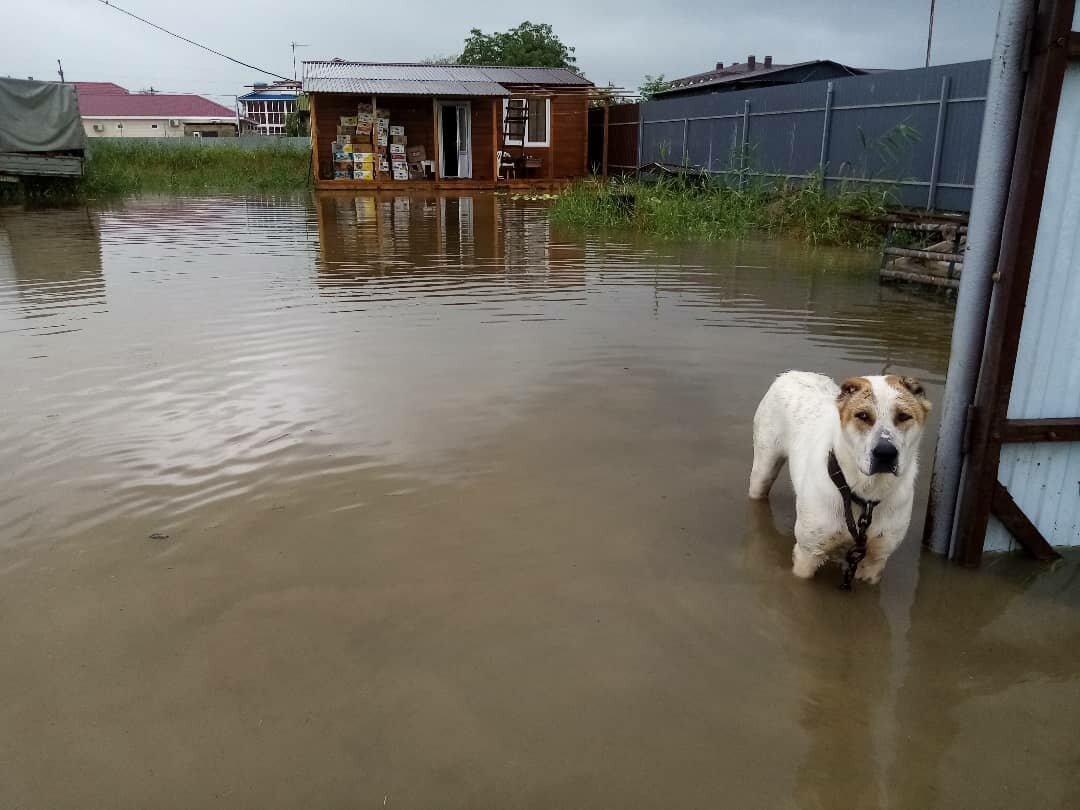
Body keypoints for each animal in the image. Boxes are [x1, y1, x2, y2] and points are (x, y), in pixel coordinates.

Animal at [751, 371, 928, 587]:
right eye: (863, 415)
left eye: (904, 416)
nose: (885, 453)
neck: (865, 493)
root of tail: (792, 373)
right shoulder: (808, 554)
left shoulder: (875, 560)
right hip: (763, 471)